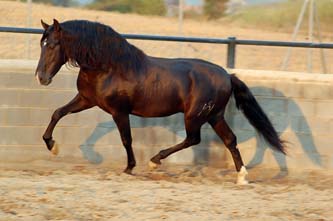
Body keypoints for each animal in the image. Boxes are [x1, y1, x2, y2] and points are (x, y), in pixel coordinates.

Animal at [35, 19, 286, 185]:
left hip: (195, 116)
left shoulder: (119, 111)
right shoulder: (86, 99)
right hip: (214, 116)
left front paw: (129, 167)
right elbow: (58, 113)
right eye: (41, 44)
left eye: (54, 45)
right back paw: (242, 177)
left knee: (193, 139)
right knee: (230, 139)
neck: (108, 67)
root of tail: (227, 75)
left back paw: (155, 161)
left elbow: (126, 139)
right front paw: (52, 145)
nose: (41, 77)